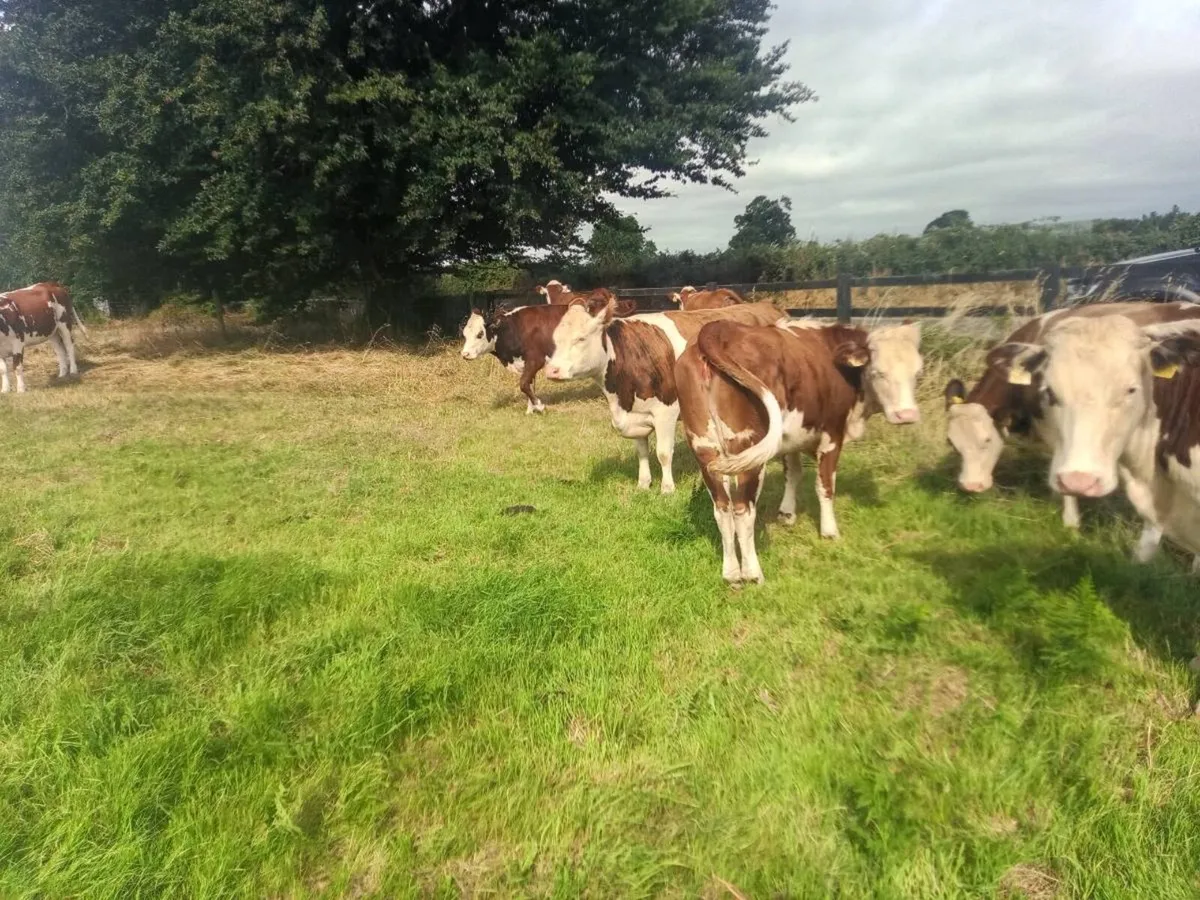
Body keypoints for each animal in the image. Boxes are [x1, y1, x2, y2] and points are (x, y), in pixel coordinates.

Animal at [460, 298, 635, 414]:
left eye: (480, 334)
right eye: (465, 334)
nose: (465, 354)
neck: (513, 327)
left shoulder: (535, 360)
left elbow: (523, 384)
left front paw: (539, 405)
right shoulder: (526, 363)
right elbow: (530, 384)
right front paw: (530, 410)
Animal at [542, 299, 786, 494]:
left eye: (581, 339)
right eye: (555, 339)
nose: (551, 370)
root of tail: (768, 305)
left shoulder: (666, 412)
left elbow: (663, 453)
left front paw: (667, 488)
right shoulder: (635, 414)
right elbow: (641, 452)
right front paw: (643, 484)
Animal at [676, 319, 923, 584]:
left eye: (916, 374)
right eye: (878, 372)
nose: (907, 415)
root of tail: (718, 329)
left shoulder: (790, 438)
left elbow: (793, 473)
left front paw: (787, 514)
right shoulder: (832, 435)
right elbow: (825, 486)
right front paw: (829, 531)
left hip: (706, 450)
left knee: (722, 509)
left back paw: (731, 575)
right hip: (748, 453)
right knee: (743, 511)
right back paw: (752, 574)